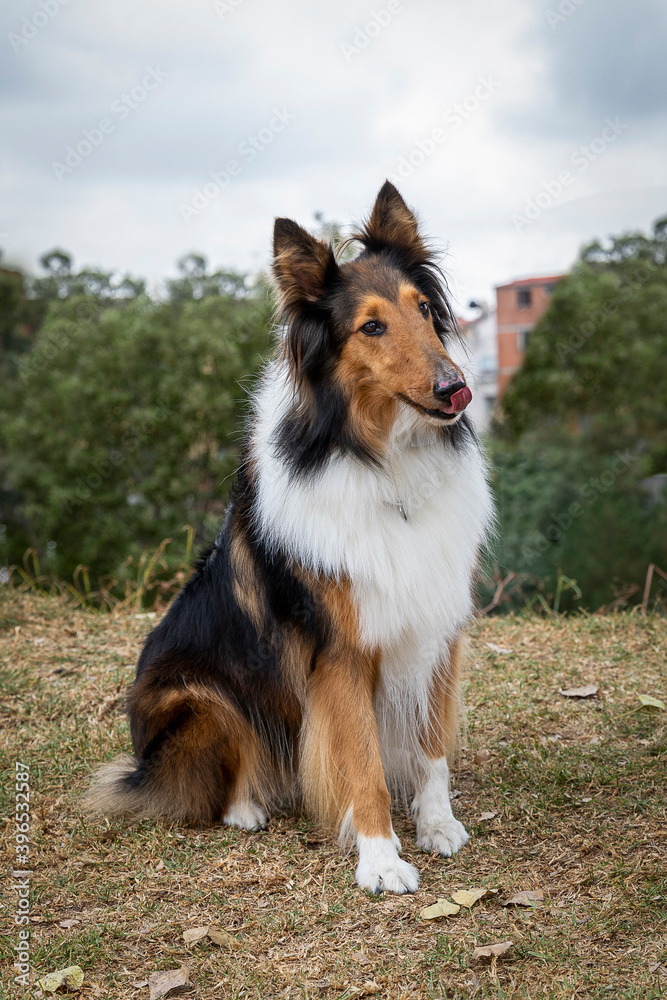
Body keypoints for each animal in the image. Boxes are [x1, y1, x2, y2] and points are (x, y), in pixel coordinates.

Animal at [87, 184, 496, 896]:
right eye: (370, 327)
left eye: (423, 309)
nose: (457, 390)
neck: (383, 461)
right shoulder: (342, 652)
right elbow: (362, 763)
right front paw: (380, 859)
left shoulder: (435, 623)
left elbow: (431, 746)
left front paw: (438, 824)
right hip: (200, 697)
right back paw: (246, 807)